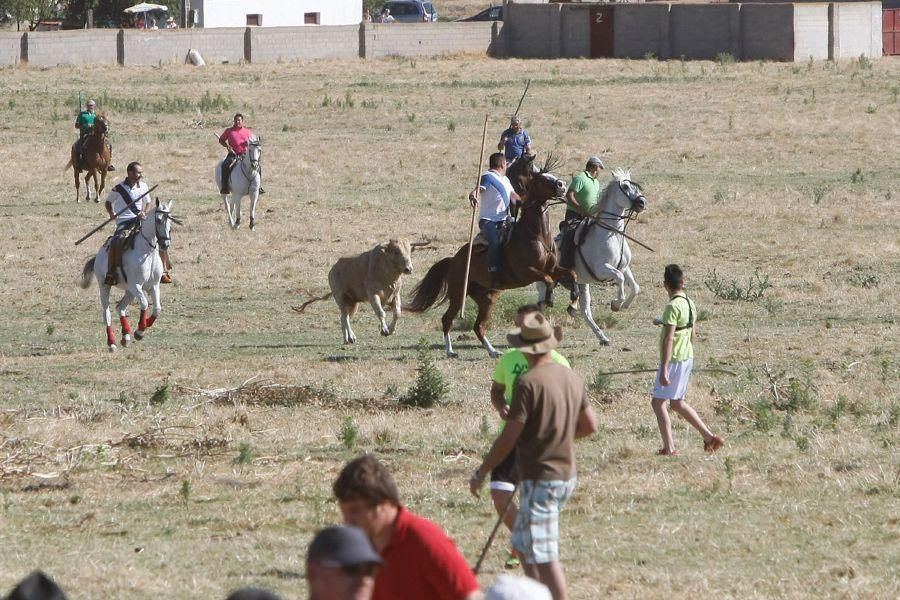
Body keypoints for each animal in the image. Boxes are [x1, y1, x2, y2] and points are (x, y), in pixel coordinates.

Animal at [79, 200, 178, 352]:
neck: (147, 252)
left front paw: (141, 328)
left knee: (120, 307)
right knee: (107, 314)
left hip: (129, 291)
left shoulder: (153, 286)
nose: (165, 243)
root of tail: (98, 255)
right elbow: (144, 303)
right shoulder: (136, 285)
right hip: (105, 286)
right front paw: (140, 330)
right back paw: (112, 343)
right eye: (158, 220)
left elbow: (157, 308)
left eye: (170, 220)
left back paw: (125, 336)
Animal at [406, 155, 568, 358]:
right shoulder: (527, 272)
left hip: (487, 298)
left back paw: (493, 351)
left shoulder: (552, 268)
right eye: (541, 178)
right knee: (447, 319)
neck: (536, 234)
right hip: (458, 294)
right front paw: (549, 299)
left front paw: (571, 299)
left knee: (479, 326)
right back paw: (450, 351)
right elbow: (547, 279)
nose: (562, 185)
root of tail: (453, 260)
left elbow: (568, 274)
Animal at [540, 169, 648, 344]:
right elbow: (620, 279)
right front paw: (616, 303)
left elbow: (635, 287)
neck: (612, 233)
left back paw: (602, 337)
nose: (642, 202)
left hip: (582, 284)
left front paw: (624, 305)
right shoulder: (602, 269)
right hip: (545, 285)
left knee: (585, 312)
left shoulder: (624, 267)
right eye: (625, 186)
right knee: (540, 308)